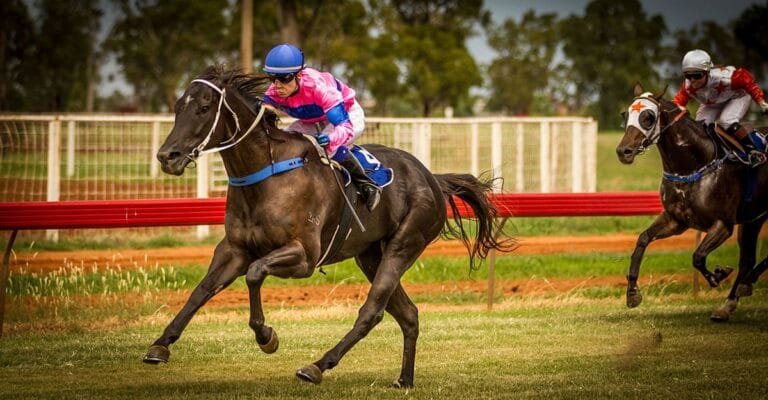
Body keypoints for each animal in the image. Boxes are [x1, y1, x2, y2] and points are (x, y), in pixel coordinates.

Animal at [144, 65, 514, 387]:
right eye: (178, 107)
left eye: (204, 107)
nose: (167, 156)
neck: (266, 175)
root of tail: (432, 178)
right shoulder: (234, 249)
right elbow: (202, 290)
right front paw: (160, 345)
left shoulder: (304, 256)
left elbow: (255, 273)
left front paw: (266, 336)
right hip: (370, 255)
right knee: (408, 313)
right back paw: (404, 380)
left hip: (404, 244)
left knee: (372, 311)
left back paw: (317, 366)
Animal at [616, 83, 768, 322]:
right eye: (625, 114)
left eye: (648, 116)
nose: (624, 151)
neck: (694, 163)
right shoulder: (676, 221)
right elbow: (642, 240)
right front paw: (632, 293)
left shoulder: (723, 224)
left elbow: (697, 256)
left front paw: (718, 275)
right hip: (753, 220)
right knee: (747, 260)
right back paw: (731, 300)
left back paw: (745, 284)